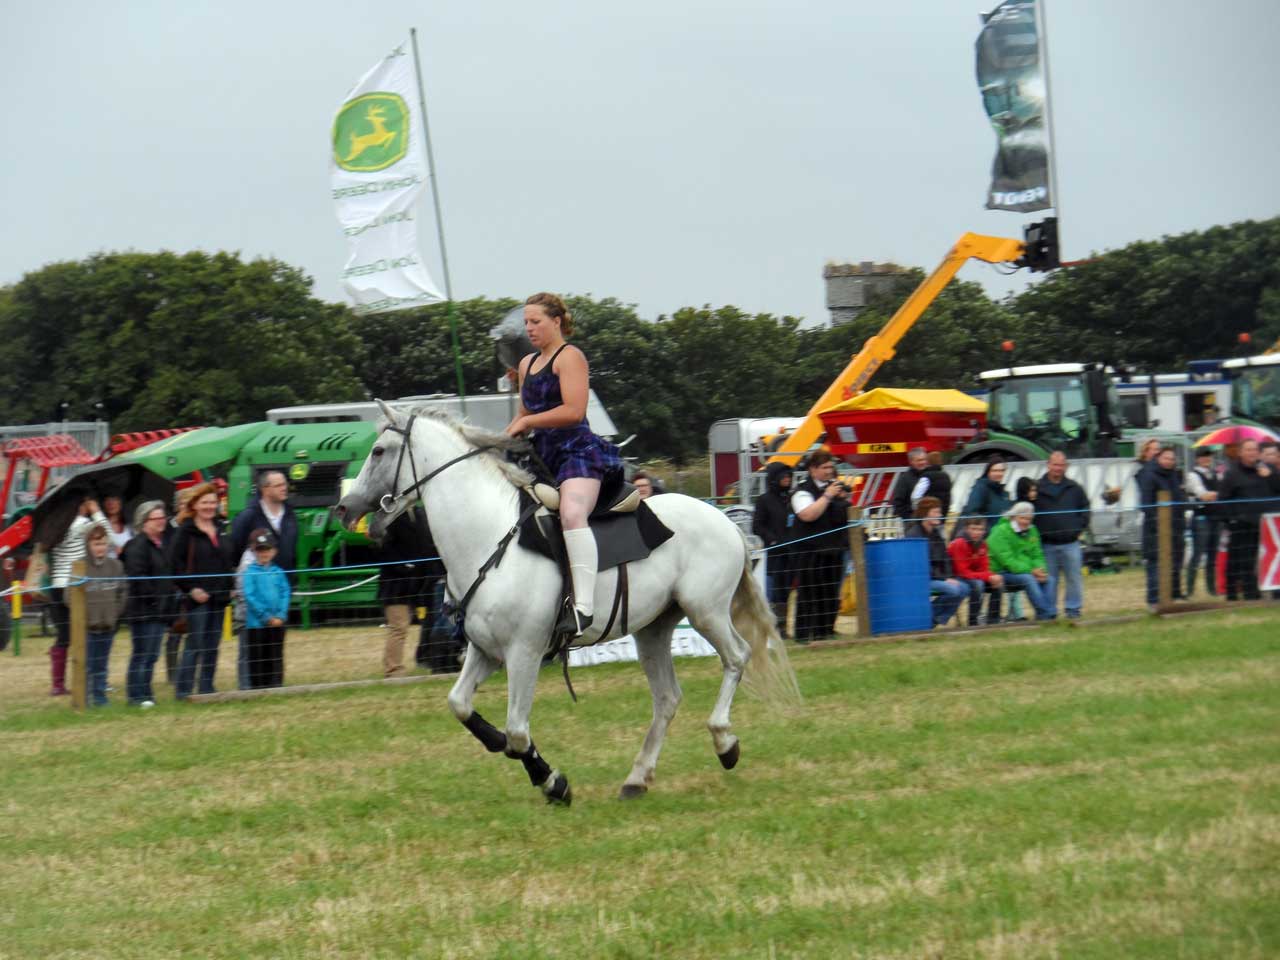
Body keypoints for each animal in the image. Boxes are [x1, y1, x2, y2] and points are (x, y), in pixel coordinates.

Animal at [337, 401, 798, 808]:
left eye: (379, 451)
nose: (344, 507)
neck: (488, 537)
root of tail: (725, 520)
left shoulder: (524, 652)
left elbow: (518, 731)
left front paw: (552, 782)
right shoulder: (486, 651)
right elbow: (460, 705)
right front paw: (500, 745)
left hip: (706, 612)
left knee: (737, 656)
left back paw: (724, 742)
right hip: (653, 629)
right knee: (667, 698)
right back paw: (637, 778)